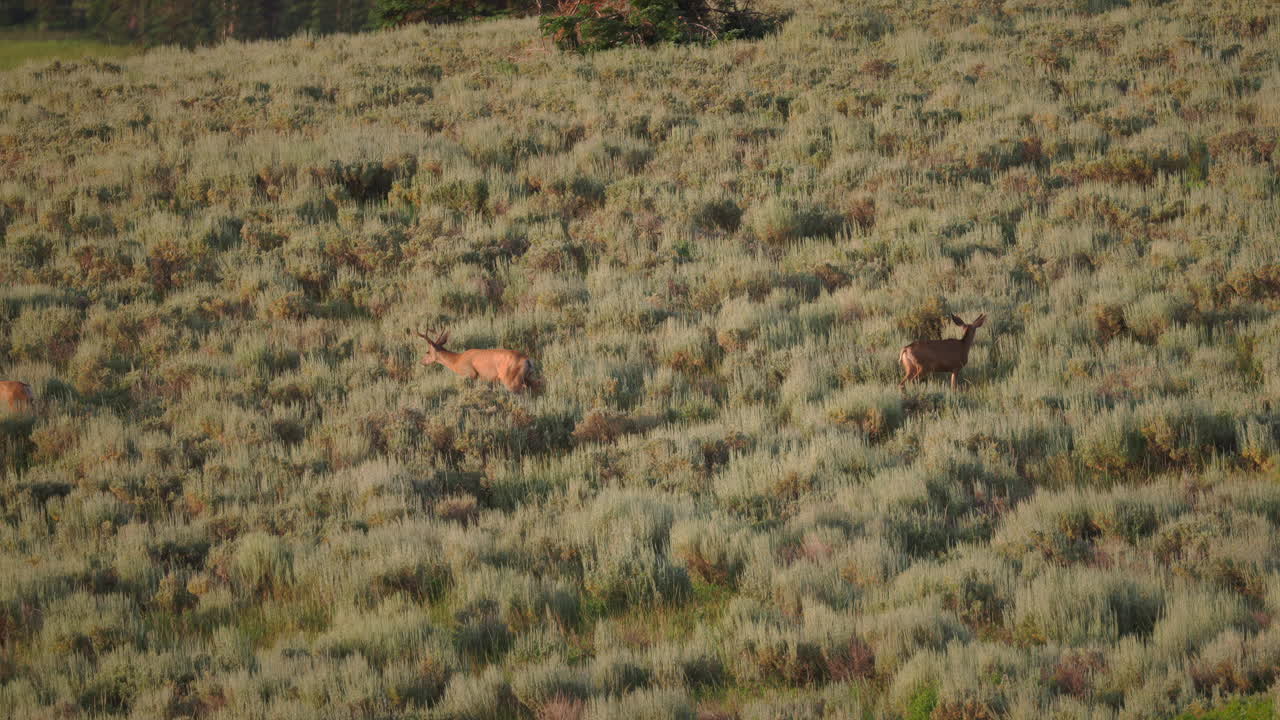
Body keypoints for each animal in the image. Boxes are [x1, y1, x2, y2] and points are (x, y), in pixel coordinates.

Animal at [409, 328, 539, 393]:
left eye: (427, 351)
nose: (421, 362)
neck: (457, 361)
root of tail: (528, 360)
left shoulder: (470, 373)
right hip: (527, 377)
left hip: (510, 379)